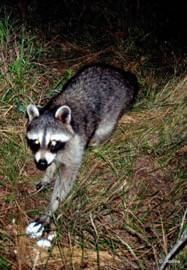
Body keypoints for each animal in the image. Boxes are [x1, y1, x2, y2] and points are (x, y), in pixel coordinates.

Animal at [25, 63, 138, 240]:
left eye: (53, 143)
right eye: (36, 142)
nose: (41, 163)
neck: (52, 111)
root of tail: (122, 74)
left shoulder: (75, 142)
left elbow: (66, 178)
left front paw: (51, 207)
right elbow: (53, 162)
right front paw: (48, 174)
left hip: (116, 106)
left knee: (104, 129)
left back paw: (96, 143)